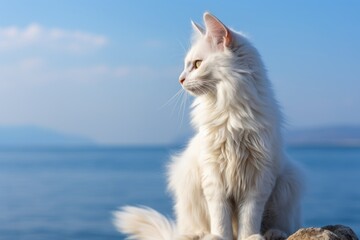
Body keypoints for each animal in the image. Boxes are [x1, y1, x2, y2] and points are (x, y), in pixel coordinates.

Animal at [113, 12, 304, 240]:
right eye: (186, 65)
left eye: (197, 64)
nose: (180, 79)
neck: (230, 112)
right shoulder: (213, 176)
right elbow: (220, 217)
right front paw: (220, 237)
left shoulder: (258, 178)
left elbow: (250, 218)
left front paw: (250, 236)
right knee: (190, 228)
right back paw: (199, 234)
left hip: (288, 183)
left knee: (282, 224)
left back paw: (274, 233)